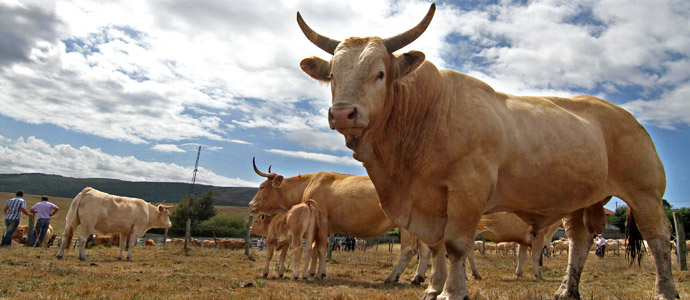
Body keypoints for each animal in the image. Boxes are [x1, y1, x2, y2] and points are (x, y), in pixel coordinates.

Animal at [247, 162, 428, 284]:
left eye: (262, 187)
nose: (250, 204)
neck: (309, 183)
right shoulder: (318, 227)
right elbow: (314, 249)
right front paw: (311, 272)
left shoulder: (322, 221)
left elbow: (320, 249)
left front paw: (319, 273)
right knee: (424, 250)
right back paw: (417, 278)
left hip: (405, 227)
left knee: (409, 250)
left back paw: (392, 277)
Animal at [296, 3, 676, 298]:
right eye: (332, 75)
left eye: (379, 73)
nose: (342, 113)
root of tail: (627, 117)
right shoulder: (429, 202)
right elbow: (434, 247)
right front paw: (432, 288)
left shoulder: (467, 191)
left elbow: (455, 245)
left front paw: (452, 292)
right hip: (579, 202)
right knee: (579, 243)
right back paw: (566, 291)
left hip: (645, 193)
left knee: (658, 239)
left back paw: (664, 291)